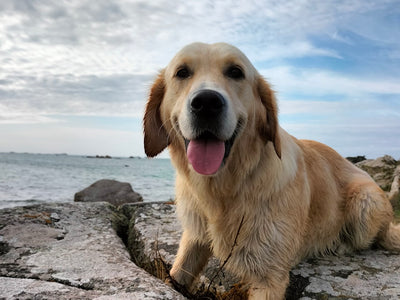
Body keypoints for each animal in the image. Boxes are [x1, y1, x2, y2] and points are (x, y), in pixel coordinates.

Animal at [142, 42, 398, 300]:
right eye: (182, 72)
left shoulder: (269, 277)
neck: (222, 190)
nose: (206, 103)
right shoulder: (194, 237)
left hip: (365, 200)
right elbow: (176, 272)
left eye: (235, 72)